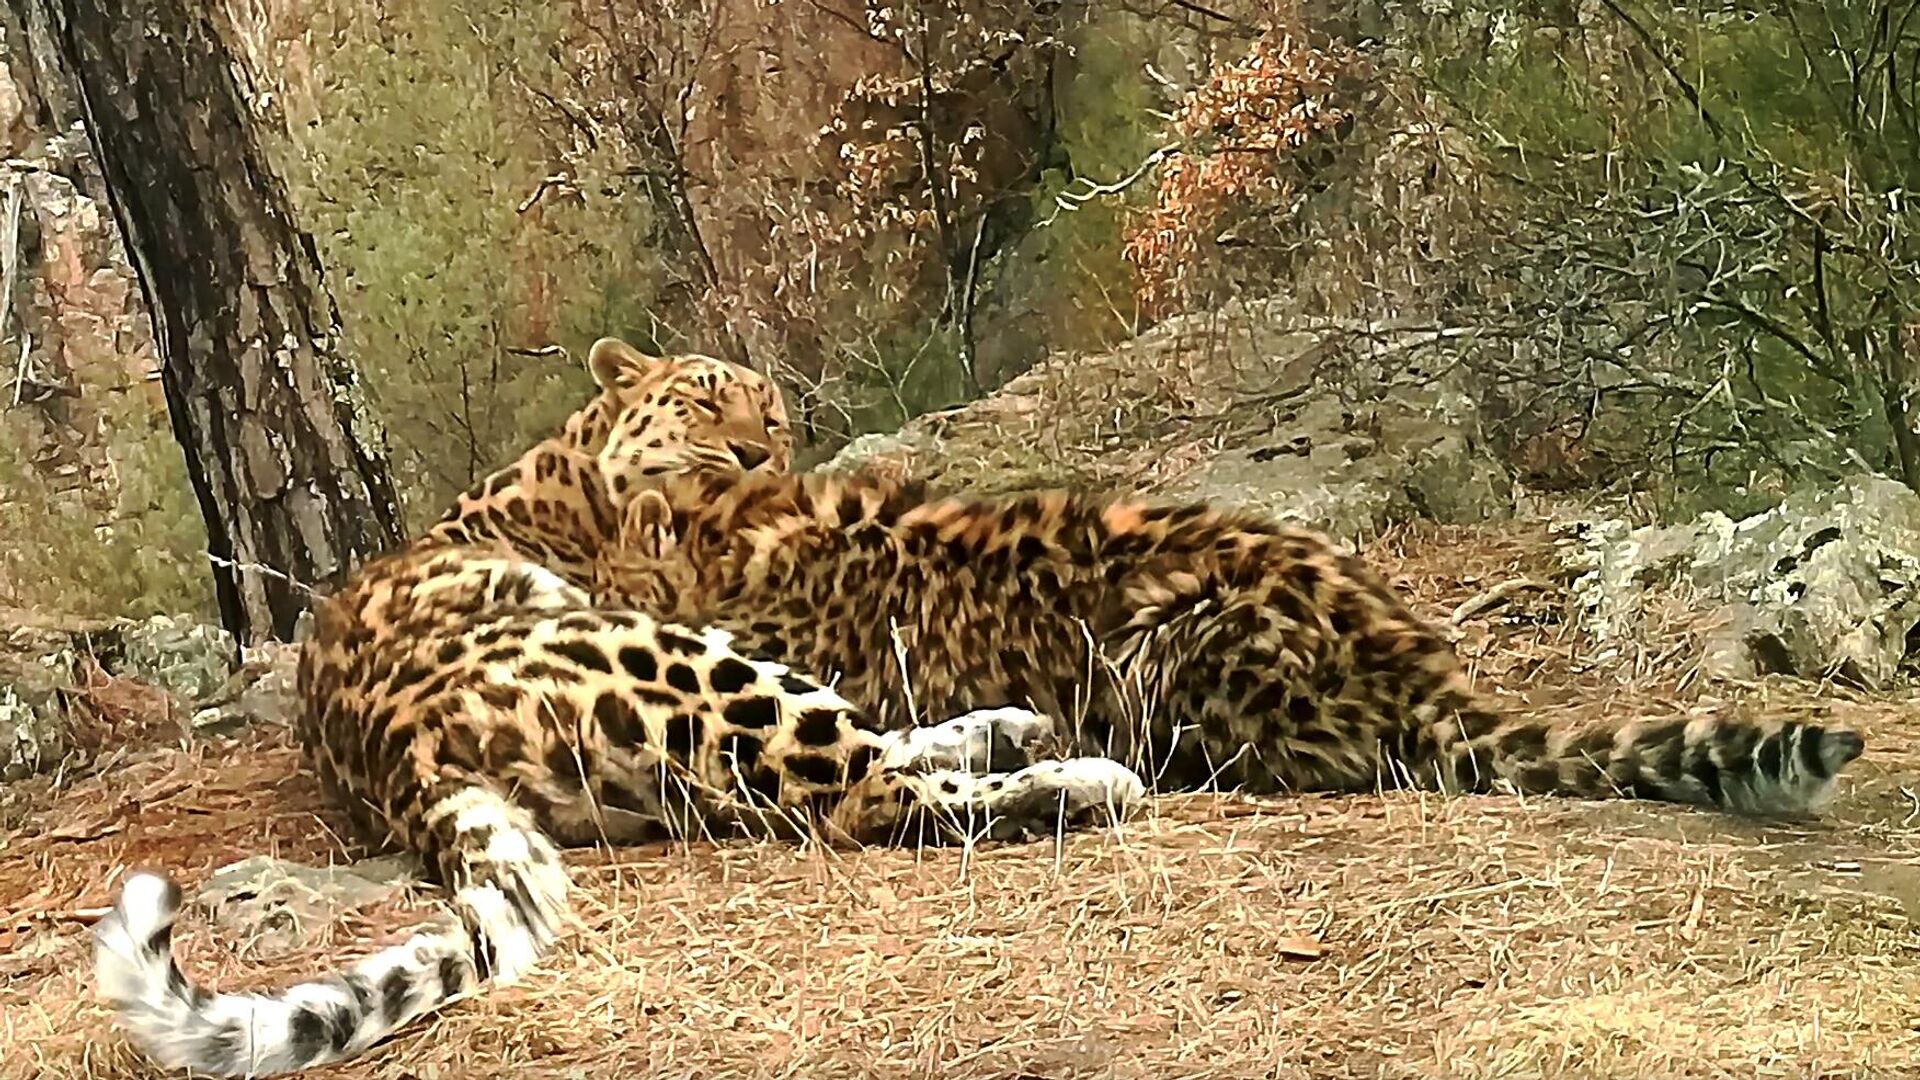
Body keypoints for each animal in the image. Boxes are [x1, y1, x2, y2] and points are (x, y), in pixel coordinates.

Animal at [90, 334, 1136, 1068]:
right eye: (704, 401)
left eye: (775, 420)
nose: (757, 455)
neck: (574, 476)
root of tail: (401, 751)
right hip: (676, 658)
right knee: (862, 789)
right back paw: (1079, 780)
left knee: (856, 762)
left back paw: (1014, 731)